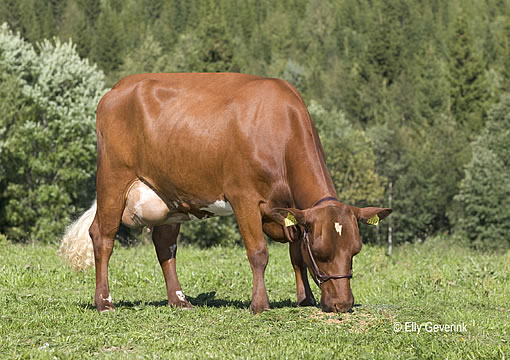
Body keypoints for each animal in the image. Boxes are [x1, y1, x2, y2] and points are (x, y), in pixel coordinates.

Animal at [60, 72, 394, 312]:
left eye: (355, 250)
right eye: (323, 253)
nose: (343, 304)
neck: (280, 131)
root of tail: (118, 88)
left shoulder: (292, 212)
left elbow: (297, 254)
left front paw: (305, 299)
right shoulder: (243, 196)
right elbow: (258, 253)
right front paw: (260, 304)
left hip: (168, 195)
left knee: (164, 245)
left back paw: (179, 300)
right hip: (113, 178)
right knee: (103, 237)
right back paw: (104, 302)